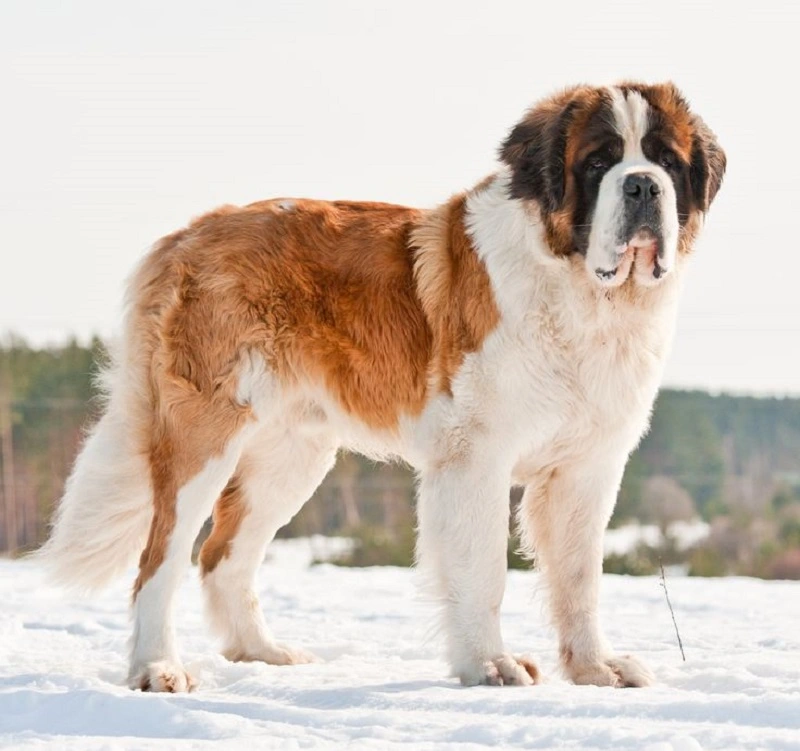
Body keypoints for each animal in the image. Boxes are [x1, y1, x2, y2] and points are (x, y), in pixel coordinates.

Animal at [37, 81, 724, 692]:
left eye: (666, 161)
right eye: (599, 162)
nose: (642, 185)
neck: (584, 292)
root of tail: (186, 234)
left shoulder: (587, 467)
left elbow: (580, 579)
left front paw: (595, 669)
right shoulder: (477, 456)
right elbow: (484, 570)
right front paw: (490, 665)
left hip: (293, 456)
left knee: (223, 555)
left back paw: (262, 653)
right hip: (204, 437)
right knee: (161, 559)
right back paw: (157, 670)